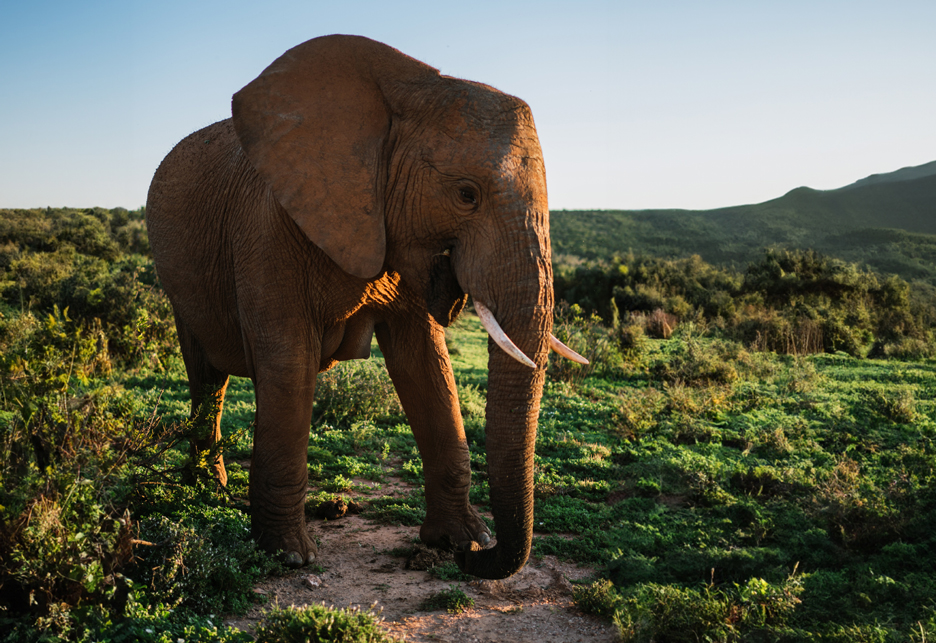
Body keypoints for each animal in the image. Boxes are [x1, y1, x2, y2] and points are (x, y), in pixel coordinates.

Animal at [146, 34, 584, 580]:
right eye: (466, 194)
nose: (475, 560)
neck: (406, 92)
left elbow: (426, 364)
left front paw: (459, 539)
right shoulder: (267, 228)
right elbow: (288, 365)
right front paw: (288, 555)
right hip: (178, 283)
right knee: (207, 376)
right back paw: (207, 487)